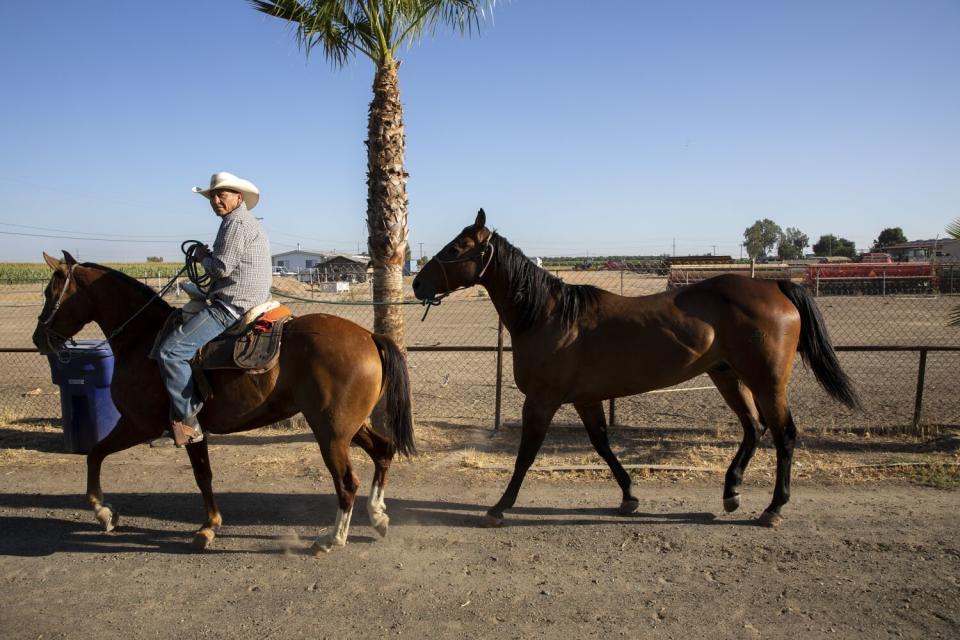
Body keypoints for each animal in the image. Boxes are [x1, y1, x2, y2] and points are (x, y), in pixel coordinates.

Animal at [31, 252, 414, 552]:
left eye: (51, 292)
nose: (39, 338)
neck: (143, 340)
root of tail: (369, 336)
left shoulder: (139, 424)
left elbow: (96, 454)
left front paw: (103, 512)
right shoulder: (187, 429)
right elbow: (202, 475)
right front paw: (209, 526)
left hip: (331, 433)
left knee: (347, 482)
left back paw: (332, 539)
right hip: (347, 426)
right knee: (382, 451)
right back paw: (378, 517)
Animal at [408, 212, 860, 528]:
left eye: (455, 249)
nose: (416, 284)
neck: (549, 315)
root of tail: (775, 285)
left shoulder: (541, 401)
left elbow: (526, 456)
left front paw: (500, 506)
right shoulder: (586, 400)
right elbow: (603, 446)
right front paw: (629, 496)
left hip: (766, 382)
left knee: (783, 435)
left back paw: (774, 507)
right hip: (726, 375)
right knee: (753, 428)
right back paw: (731, 491)